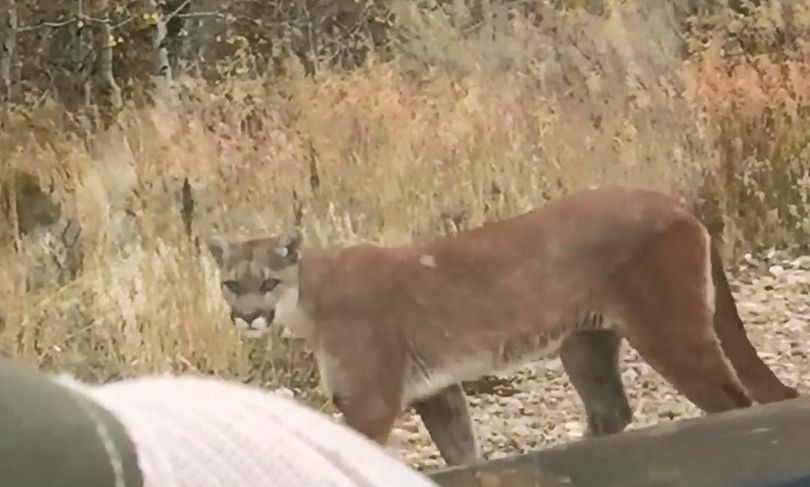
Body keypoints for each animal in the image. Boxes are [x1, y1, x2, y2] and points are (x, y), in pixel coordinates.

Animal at [207, 186, 796, 466]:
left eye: (268, 281)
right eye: (232, 284)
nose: (248, 315)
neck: (309, 296)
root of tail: (671, 198)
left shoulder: (370, 402)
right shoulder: (437, 389)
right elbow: (462, 451)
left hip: (670, 332)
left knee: (733, 403)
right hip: (584, 344)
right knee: (611, 411)